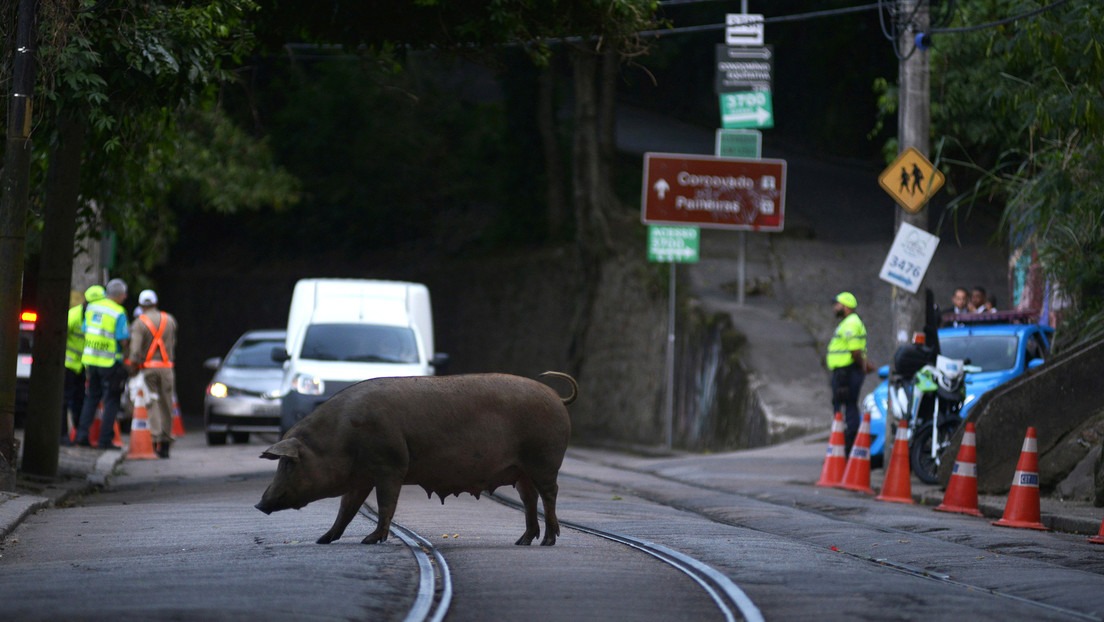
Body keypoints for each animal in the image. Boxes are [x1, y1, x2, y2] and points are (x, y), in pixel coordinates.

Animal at [252, 373, 578, 547]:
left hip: (544, 460)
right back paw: (522, 541)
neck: (341, 438)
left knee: (550, 494)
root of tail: (557, 397)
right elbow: (347, 508)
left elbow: (386, 504)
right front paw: (323, 539)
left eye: (289, 463)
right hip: (522, 471)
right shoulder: (361, 477)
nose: (259, 504)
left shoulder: (390, 466)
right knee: (529, 499)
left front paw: (371, 539)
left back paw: (549, 541)